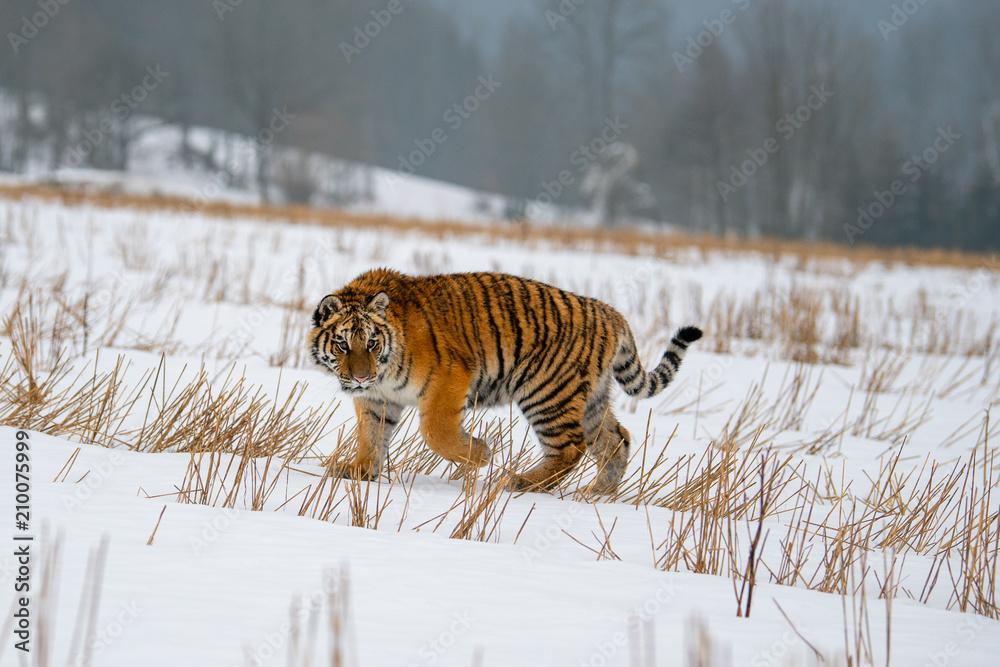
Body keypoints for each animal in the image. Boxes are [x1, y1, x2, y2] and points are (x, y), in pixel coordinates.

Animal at [307, 268, 701, 494]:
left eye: (372, 343)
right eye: (343, 344)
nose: (362, 376)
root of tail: (613, 314)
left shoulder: (449, 377)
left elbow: (436, 432)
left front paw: (478, 454)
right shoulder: (377, 399)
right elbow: (371, 435)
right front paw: (359, 471)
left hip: (547, 393)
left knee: (570, 448)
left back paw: (519, 481)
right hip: (591, 401)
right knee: (616, 440)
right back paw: (597, 494)